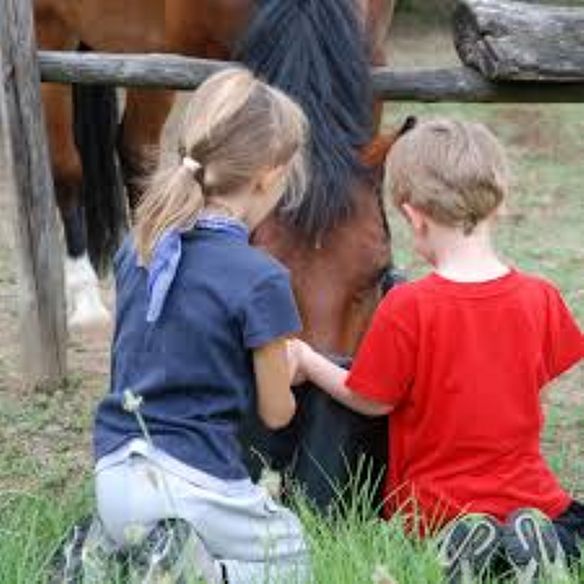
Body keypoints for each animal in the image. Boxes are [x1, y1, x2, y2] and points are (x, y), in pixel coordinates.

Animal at [35, 0, 402, 508]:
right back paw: (88, 296)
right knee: (67, 167)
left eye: (378, 271)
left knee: (134, 150)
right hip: (53, 31)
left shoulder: (374, 56)